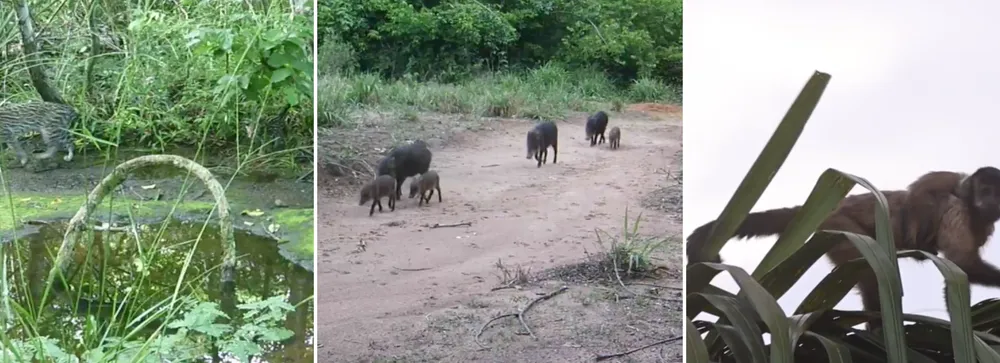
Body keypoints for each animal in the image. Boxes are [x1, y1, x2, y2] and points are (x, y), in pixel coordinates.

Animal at [688, 168, 1000, 318]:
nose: (990, 200)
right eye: (985, 191)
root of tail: (831, 207)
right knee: (871, 273)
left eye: (996, 193)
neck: (973, 210)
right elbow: (961, 264)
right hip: (840, 228)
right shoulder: (958, 212)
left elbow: (961, 269)